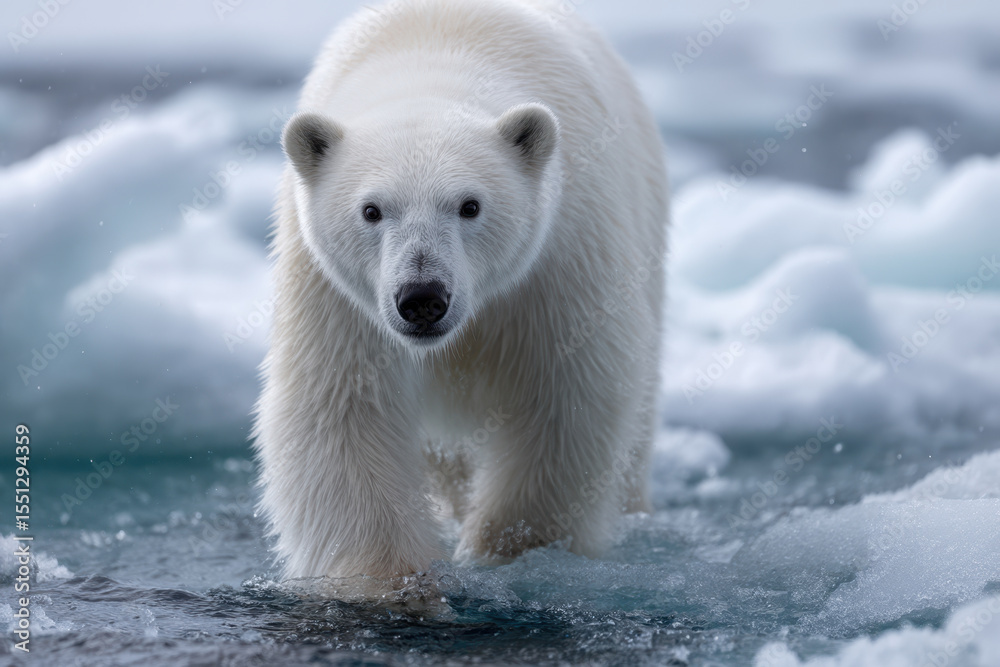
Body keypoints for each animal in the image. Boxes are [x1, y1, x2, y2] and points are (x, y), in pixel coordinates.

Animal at [253, 0, 668, 584]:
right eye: (371, 209)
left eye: (470, 205)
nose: (423, 297)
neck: (433, 53)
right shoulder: (334, 291)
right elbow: (340, 407)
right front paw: (392, 581)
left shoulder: (561, 256)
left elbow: (566, 394)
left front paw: (507, 550)